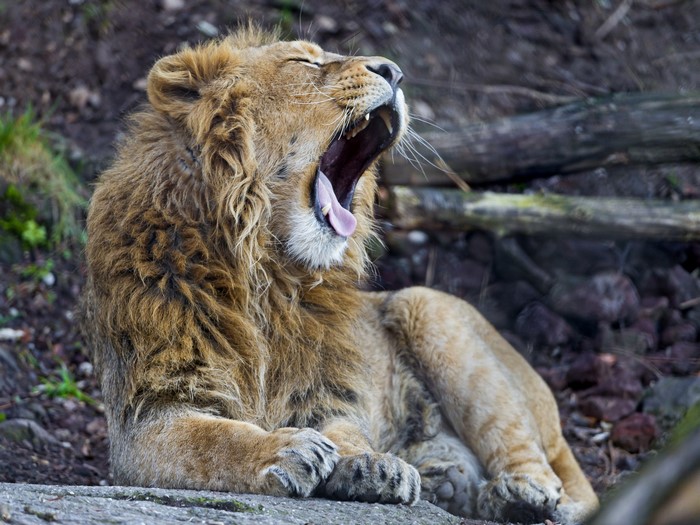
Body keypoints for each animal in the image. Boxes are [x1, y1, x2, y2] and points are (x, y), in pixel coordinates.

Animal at [81, 28, 599, 524]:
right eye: (303, 62)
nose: (395, 71)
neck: (266, 273)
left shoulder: (328, 392)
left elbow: (349, 432)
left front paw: (373, 464)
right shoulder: (148, 414)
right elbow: (213, 441)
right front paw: (284, 448)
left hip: (426, 308)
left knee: (541, 462)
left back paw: (521, 494)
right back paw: (456, 484)